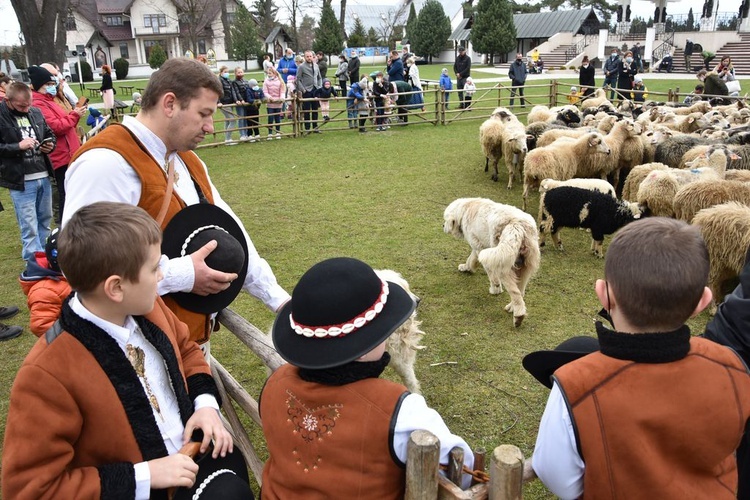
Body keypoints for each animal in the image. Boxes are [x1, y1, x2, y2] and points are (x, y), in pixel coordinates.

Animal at [444, 199, 544, 328]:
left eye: (445, 220)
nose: (442, 226)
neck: (465, 209)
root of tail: (517, 226)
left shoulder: (479, 246)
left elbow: (490, 274)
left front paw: (495, 289)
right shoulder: (478, 247)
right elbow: (471, 259)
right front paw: (466, 268)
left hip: (504, 263)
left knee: (516, 294)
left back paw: (518, 316)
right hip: (525, 267)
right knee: (520, 292)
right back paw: (511, 307)